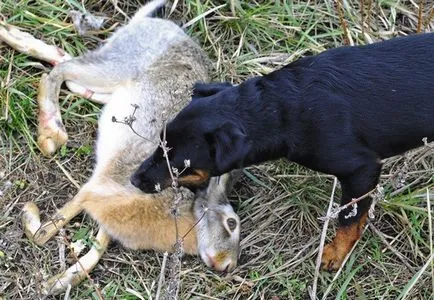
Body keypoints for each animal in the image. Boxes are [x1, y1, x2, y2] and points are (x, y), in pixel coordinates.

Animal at [131, 34, 434, 270]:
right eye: (159, 144)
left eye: (180, 164)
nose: (134, 180)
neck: (281, 111)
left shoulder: (361, 169)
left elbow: (349, 217)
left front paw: (335, 254)